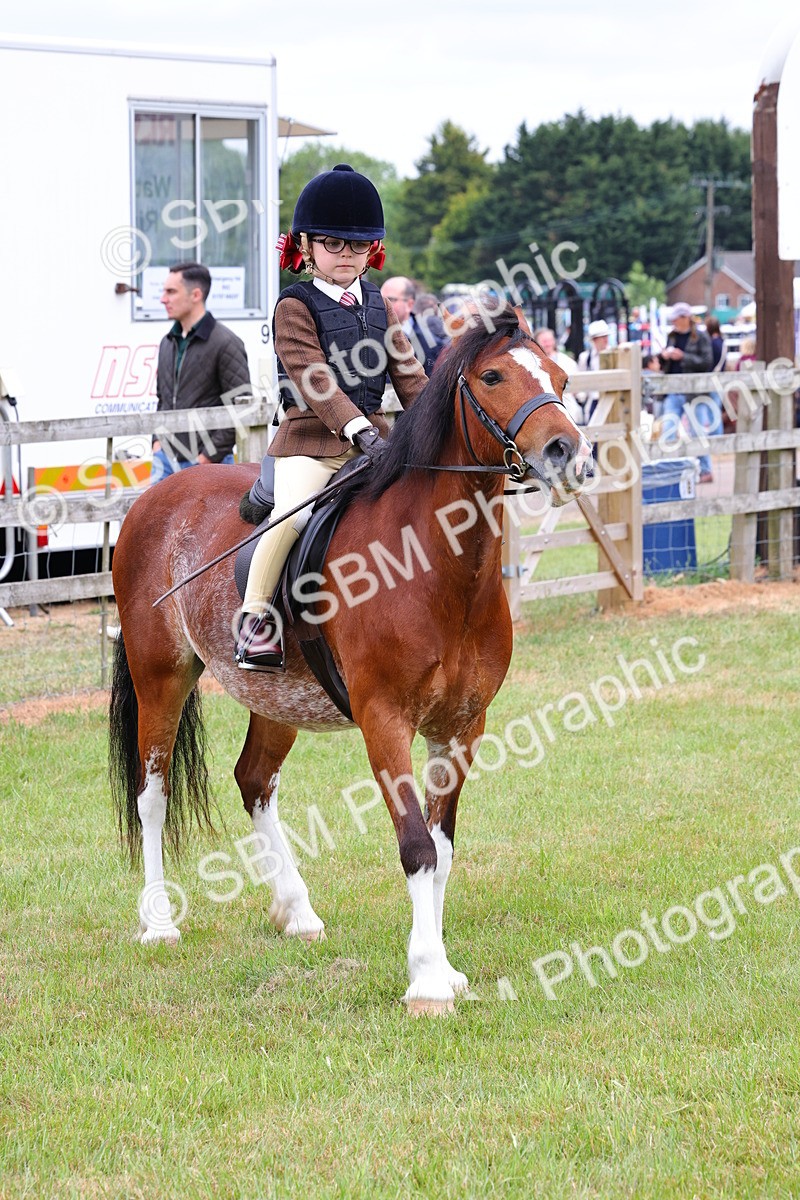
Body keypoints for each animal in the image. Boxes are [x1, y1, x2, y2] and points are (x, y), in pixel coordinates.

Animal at [109, 304, 592, 1016]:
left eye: (560, 375)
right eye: (494, 376)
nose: (566, 453)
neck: (436, 567)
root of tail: (153, 496)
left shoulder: (461, 726)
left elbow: (442, 846)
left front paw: (445, 970)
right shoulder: (385, 720)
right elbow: (416, 846)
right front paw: (426, 980)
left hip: (277, 697)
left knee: (255, 781)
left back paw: (297, 912)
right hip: (160, 678)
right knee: (154, 794)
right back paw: (159, 923)